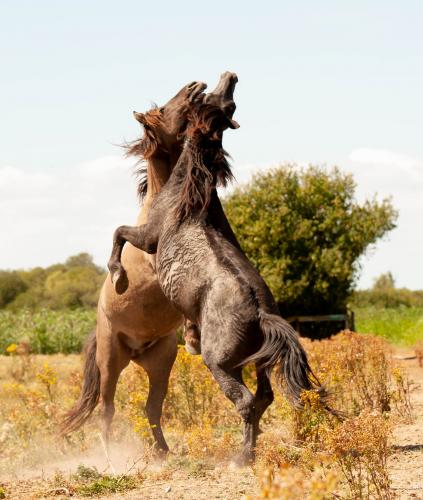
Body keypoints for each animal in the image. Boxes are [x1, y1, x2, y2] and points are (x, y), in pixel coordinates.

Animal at [62, 73, 240, 454]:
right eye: (163, 109)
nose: (194, 85)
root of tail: (134, 352)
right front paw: (118, 277)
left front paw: (194, 334)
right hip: (110, 359)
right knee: (107, 409)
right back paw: (113, 458)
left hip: (160, 361)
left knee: (152, 407)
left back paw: (162, 453)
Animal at [107, 84, 326, 462]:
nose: (197, 86)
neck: (191, 200)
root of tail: (261, 315)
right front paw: (190, 335)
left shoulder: (149, 238)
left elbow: (118, 232)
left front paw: (118, 276)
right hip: (257, 361)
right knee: (265, 397)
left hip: (222, 365)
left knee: (247, 402)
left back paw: (242, 459)